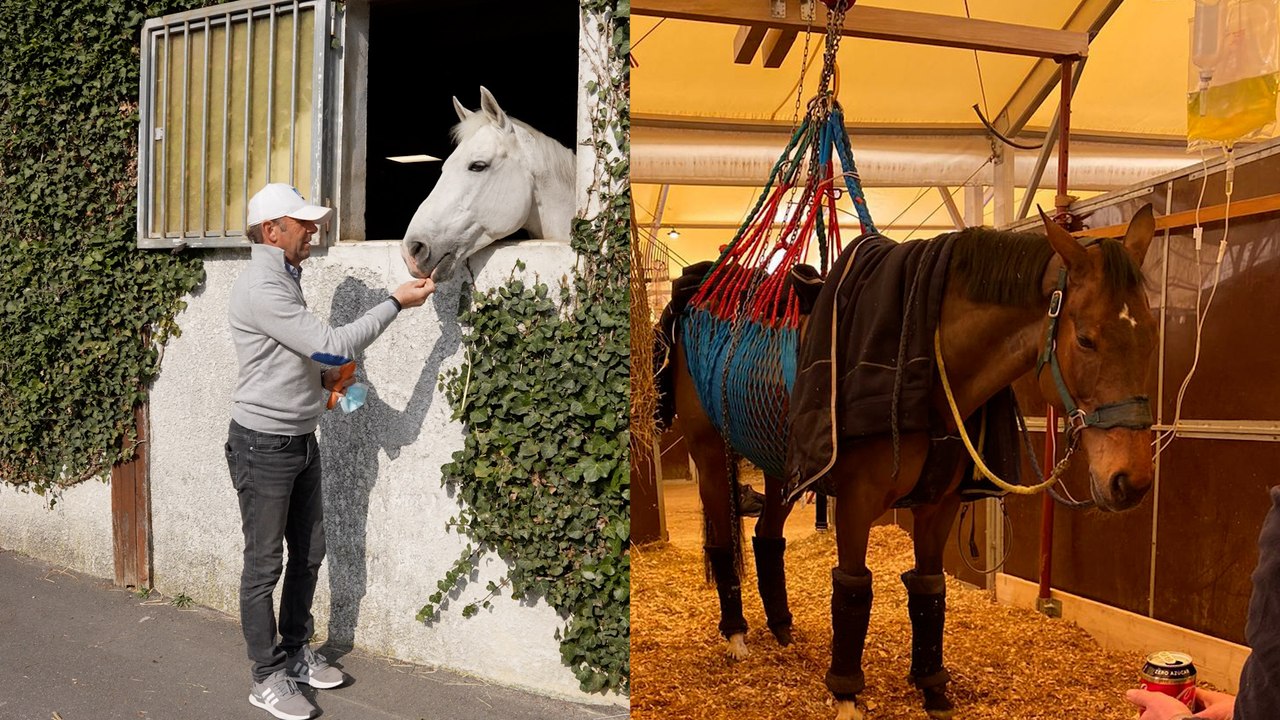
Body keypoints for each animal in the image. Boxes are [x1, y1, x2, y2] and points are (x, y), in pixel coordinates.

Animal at [663, 206, 1157, 720]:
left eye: (1151, 334)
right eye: (1086, 339)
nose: (1131, 481)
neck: (932, 364)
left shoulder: (937, 505)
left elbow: (928, 588)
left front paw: (932, 687)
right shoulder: (856, 503)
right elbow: (853, 589)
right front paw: (846, 694)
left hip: (782, 466)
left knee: (766, 538)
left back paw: (781, 626)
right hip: (710, 454)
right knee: (723, 543)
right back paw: (736, 634)